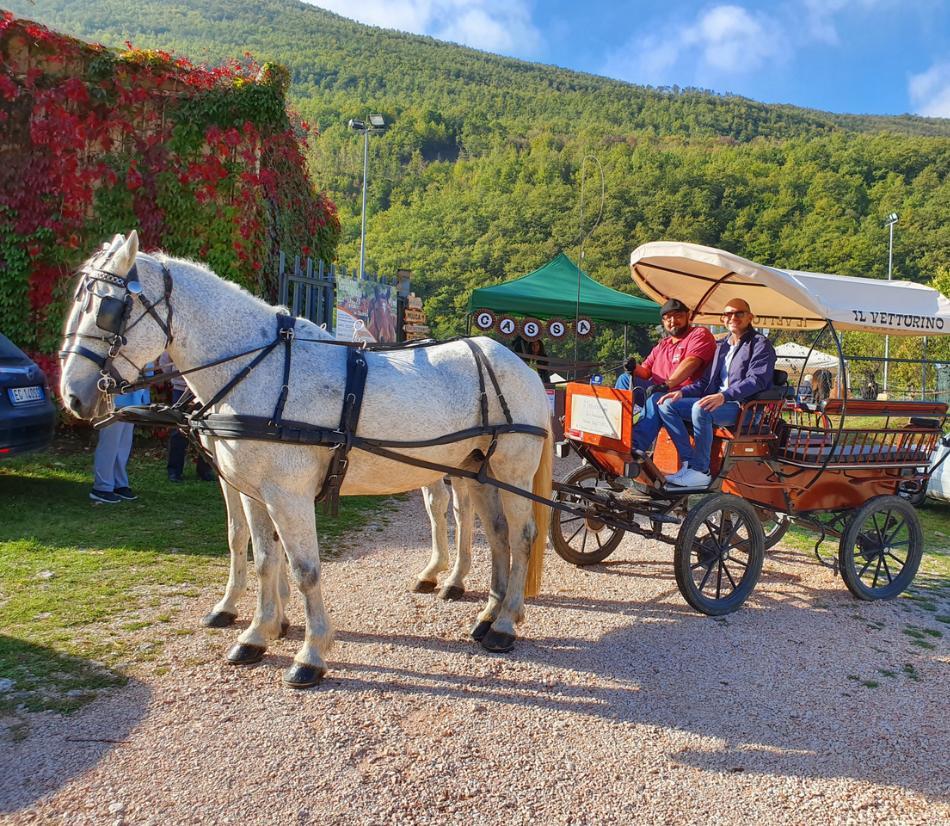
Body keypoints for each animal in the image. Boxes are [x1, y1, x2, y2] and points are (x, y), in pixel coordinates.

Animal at [61, 229, 552, 684]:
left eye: (107, 307)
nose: (73, 394)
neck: (262, 369)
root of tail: (521, 365)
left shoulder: (288, 493)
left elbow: (304, 568)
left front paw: (310, 653)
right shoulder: (250, 490)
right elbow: (259, 556)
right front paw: (258, 633)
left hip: (511, 470)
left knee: (522, 534)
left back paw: (504, 624)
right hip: (475, 468)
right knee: (496, 533)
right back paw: (488, 614)